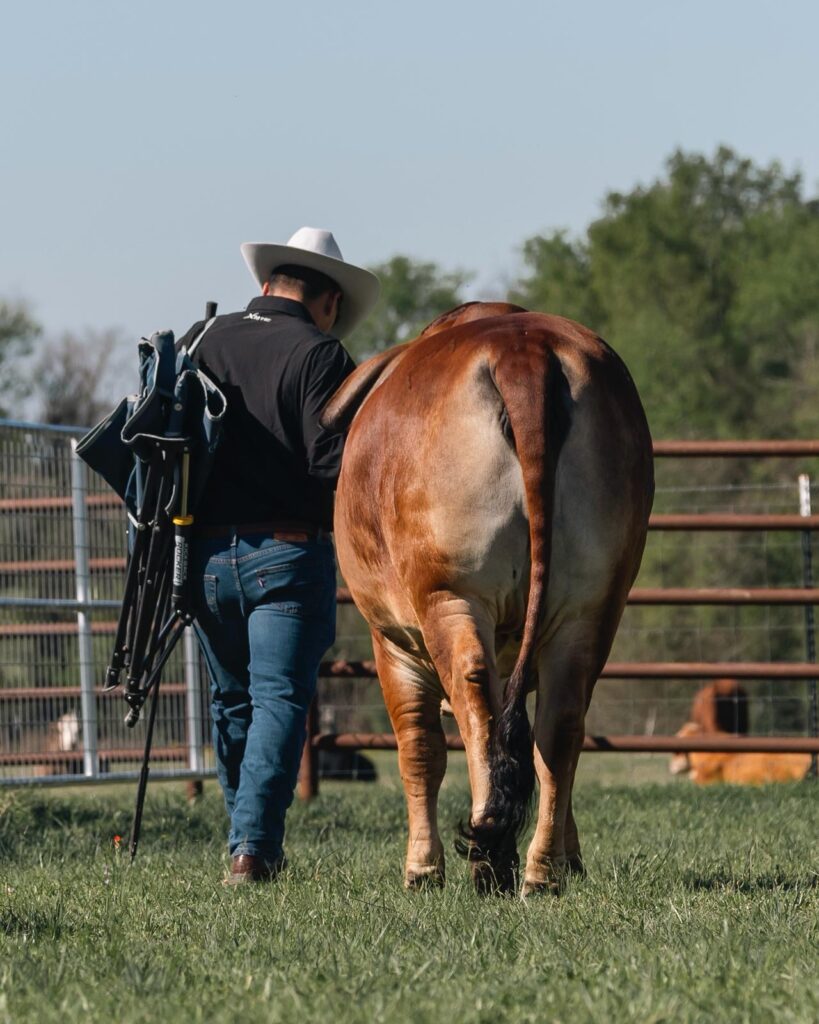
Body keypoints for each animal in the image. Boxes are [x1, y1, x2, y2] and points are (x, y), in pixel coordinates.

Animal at [322, 302, 654, 894]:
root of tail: (522, 351)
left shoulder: (393, 642)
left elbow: (420, 748)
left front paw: (422, 868)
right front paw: (573, 855)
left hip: (451, 597)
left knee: (477, 707)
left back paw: (489, 858)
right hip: (588, 610)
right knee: (560, 726)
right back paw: (543, 869)